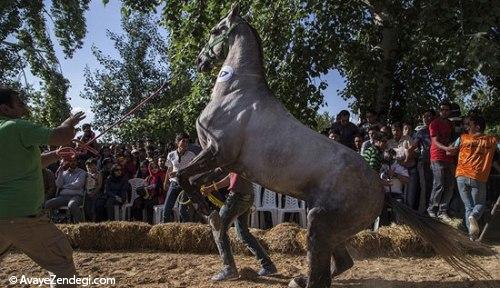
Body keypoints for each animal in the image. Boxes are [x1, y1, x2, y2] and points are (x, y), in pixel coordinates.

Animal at [177, 3, 492, 286]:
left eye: (216, 29)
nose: (200, 61)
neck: (236, 93)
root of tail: (382, 192)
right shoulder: (224, 162)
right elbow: (192, 179)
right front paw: (206, 210)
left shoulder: (218, 151)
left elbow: (180, 175)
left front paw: (203, 209)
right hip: (331, 228)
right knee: (341, 264)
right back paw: (298, 278)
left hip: (320, 223)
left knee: (324, 274)